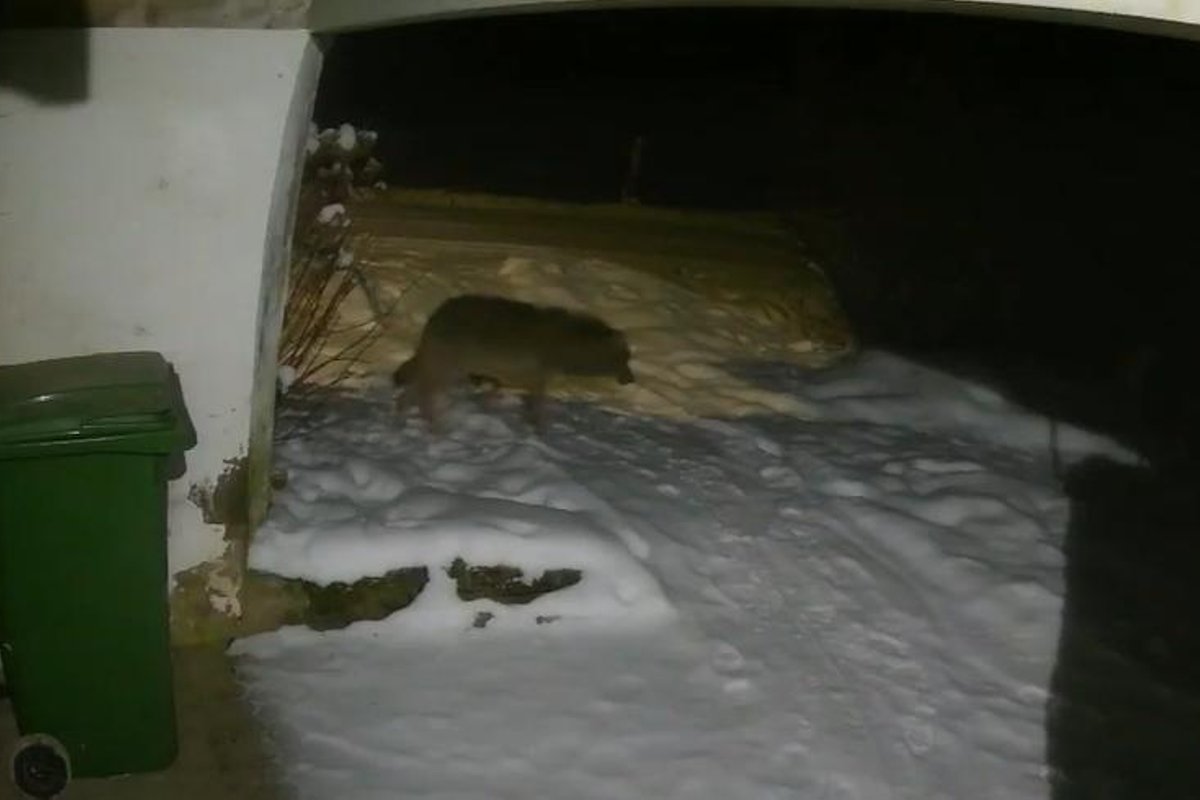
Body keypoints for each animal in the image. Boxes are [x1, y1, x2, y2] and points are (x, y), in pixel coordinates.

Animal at [393, 292, 638, 431]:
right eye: (625, 358)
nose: (632, 379)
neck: (567, 344)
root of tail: (435, 314)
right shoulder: (538, 381)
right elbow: (538, 412)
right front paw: (541, 433)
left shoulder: (524, 381)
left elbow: (506, 400)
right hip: (449, 373)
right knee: (422, 397)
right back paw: (436, 429)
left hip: (442, 372)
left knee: (408, 396)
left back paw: (403, 422)